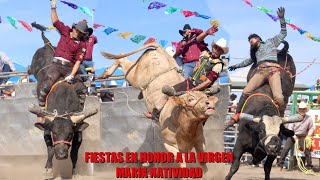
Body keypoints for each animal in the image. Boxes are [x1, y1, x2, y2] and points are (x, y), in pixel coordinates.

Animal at [27, 31, 97, 175]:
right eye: (54, 133)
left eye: (69, 134)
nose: (61, 155)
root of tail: (46, 45)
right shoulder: (47, 128)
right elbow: (50, 149)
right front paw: (48, 169)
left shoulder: (78, 132)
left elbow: (74, 153)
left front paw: (75, 172)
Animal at [226, 41, 298, 180]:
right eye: (262, 130)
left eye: (279, 132)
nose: (272, 146)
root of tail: (281, 51)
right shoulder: (239, 144)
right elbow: (234, 167)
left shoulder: (273, 154)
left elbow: (267, 168)